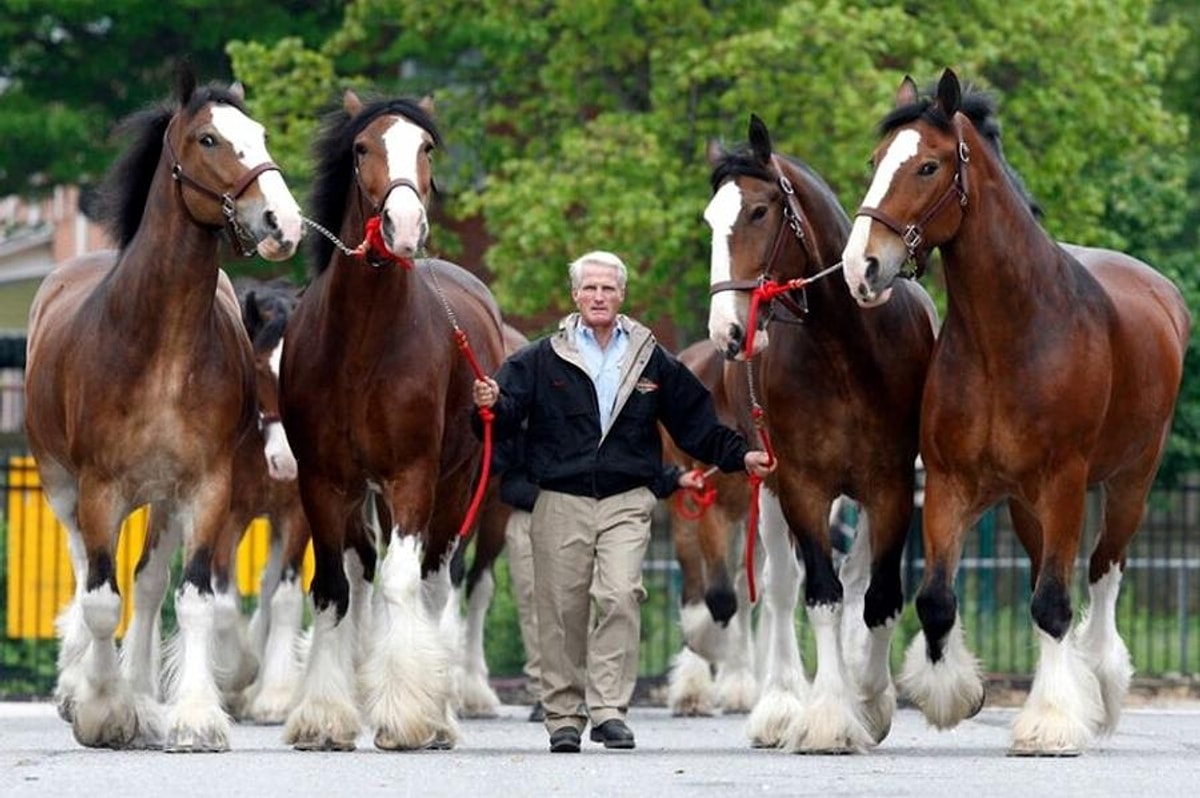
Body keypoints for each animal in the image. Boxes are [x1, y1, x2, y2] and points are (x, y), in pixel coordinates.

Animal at [23, 65, 302, 748]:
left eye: (258, 134)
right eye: (208, 139)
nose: (282, 221)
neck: (162, 350)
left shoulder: (206, 490)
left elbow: (193, 599)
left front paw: (195, 715)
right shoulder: (99, 489)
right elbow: (101, 601)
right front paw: (102, 710)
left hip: (163, 501)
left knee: (148, 588)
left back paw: (143, 691)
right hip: (64, 488)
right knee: (85, 573)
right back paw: (83, 685)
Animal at [278, 91, 504, 748]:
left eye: (425, 147)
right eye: (361, 148)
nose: (405, 226)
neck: (362, 344)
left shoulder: (412, 477)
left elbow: (403, 585)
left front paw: (407, 715)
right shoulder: (324, 483)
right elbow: (333, 589)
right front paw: (324, 716)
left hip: (455, 490)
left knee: (432, 584)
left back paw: (441, 714)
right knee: (361, 578)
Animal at [700, 115, 936, 748]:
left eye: (759, 211)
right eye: (709, 219)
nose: (728, 330)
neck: (846, 351)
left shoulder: (891, 485)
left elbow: (879, 596)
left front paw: (871, 699)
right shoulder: (802, 486)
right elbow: (820, 595)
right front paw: (829, 714)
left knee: (856, 579)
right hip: (769, 486)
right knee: (783, 586)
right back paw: (782, 702)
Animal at [844, 69, 1190, 753]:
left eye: (927, 165)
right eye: (876, 161)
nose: (860, 267)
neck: (1010, 335)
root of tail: (1163, 294)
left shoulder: (1063, 482)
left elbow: (1055, 602)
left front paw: (1051, 723)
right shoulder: (951, 484)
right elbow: (937, 599)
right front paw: (956, 694)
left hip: (1127, 484)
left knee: (1103, 574)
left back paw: (1100, 689)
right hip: (1031, 507)